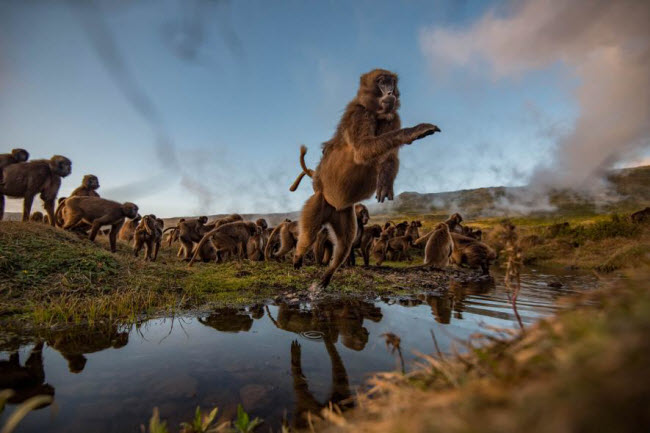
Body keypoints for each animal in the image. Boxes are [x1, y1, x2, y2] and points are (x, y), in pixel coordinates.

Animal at [290, 69, 438, 288]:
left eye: (391, 82)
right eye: (382, 82)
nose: (390, 92)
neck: (376, 113)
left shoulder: (392, 118)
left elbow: (389, 157)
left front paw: (385, 181)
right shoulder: (359, 114)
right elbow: (362, 149)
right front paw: (415, 131)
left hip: (343, 212)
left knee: (344, 243)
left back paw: (327, 276)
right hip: (318, 202)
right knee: (309, 235)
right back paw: (298, 257)